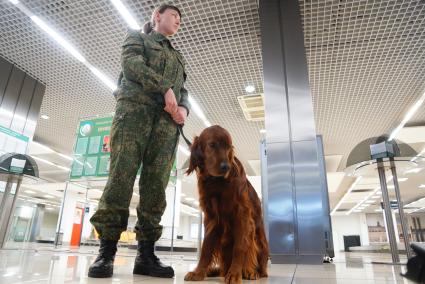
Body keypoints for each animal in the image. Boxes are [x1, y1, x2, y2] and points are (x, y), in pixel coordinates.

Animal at [183, 125, 268, 284]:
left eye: (228, 147)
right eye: (212, 144)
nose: (226, 167)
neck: (216, 182)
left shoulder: (242, 215)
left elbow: (240, 247)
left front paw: (234, 274)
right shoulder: (211, 217)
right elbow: (206, 247)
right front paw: (198, 272)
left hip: (259, 238)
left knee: (259, 263)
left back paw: (250, 272)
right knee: (223, 268)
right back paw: (215, 271)